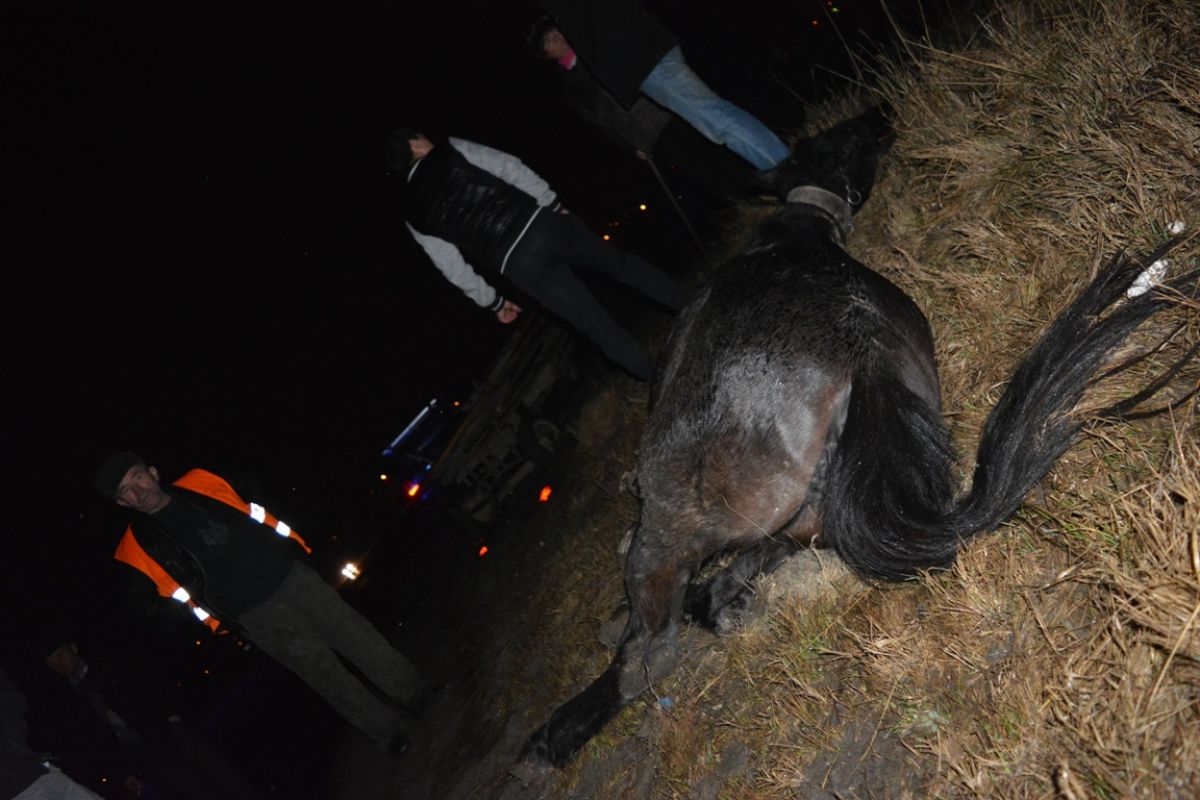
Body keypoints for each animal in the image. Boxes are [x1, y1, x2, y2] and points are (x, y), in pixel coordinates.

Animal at [522, 104, 1199, 767]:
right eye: (849, 135)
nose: (881, 112)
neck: (797, 229)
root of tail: (859, 345)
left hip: (675, 520)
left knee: (652, 647)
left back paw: (565, 724)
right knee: (794, 542)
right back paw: (721, 593)